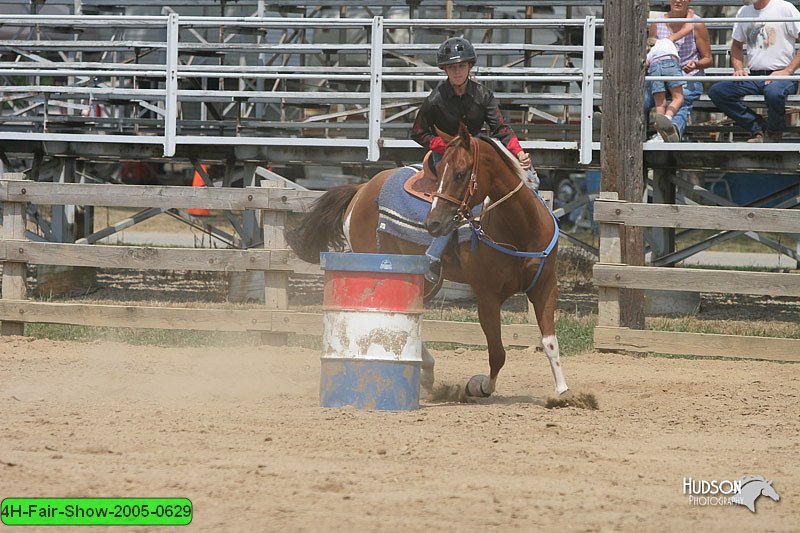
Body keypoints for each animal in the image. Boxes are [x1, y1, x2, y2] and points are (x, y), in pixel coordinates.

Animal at [286, 123, 568, 400]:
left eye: (461, 174)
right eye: (441, 170)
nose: (433, 223)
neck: (520, 230)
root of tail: (361, 189)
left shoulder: (545, 286)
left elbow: (550, 342)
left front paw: (563, 392)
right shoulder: (487, 296)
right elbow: (497, 352)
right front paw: (480, 387)